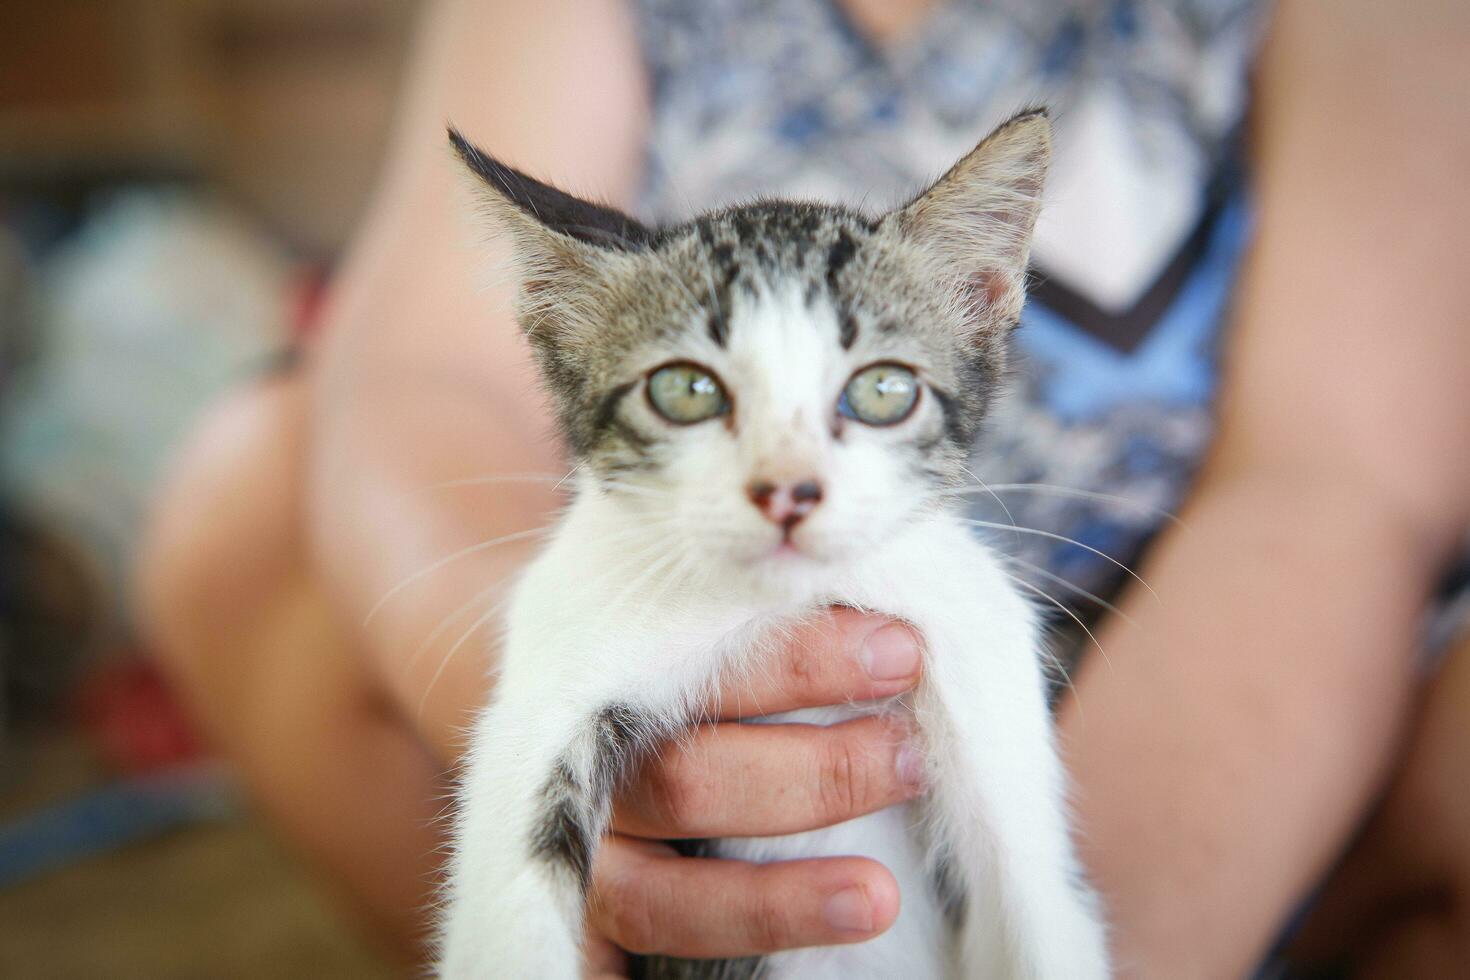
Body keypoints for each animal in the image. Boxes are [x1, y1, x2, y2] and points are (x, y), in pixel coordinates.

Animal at [441, 110, 1105, 975]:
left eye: (883, 390)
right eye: (684, 390)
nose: (788, 491)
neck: (778, 604)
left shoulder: (977, 649)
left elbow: (1040, 908)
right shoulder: (554, 664)